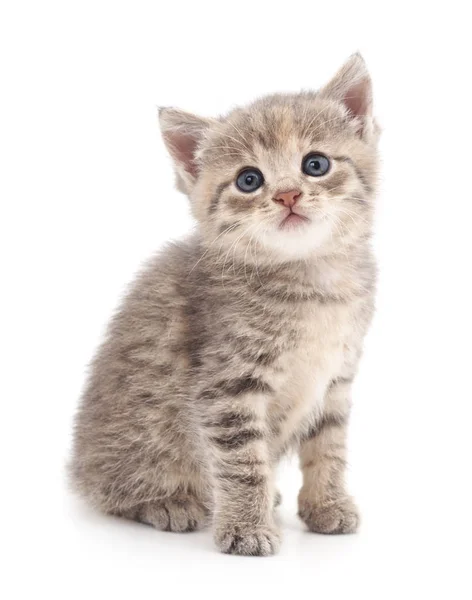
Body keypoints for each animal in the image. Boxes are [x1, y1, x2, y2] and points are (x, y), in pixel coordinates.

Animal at [70, 54, 380, 556]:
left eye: (315, 164)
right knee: (115, 491)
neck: (311, 280)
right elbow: (241, 462)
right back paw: (170, 503)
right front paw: (246, 528)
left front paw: (326, 505)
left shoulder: (337, 377)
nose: (288, 194)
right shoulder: (227, 386)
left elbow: (328, 446)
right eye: (248, 180)